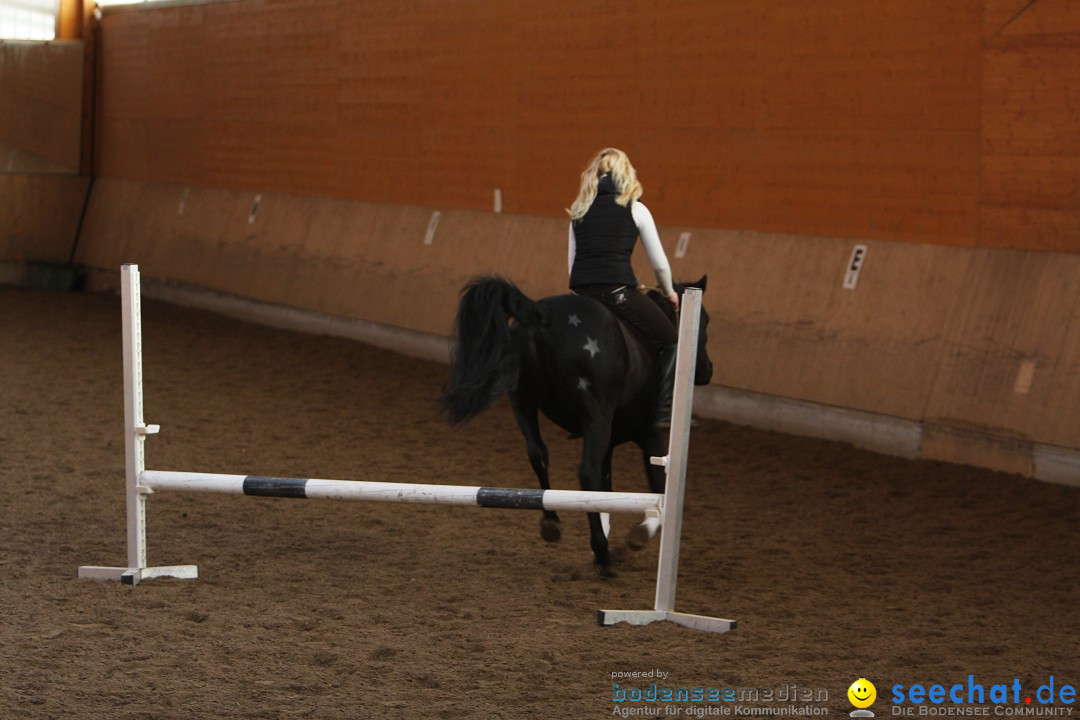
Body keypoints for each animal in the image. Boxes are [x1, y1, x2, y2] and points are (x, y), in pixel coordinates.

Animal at [442, 274, 712, 574]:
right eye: (705, 320)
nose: (706, 371)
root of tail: (542, 314)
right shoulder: (648, 434)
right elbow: (653, 483)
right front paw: (642, 531)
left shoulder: (609, 442)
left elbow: (606, 492)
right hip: (595, 416)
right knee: (587, 474)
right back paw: (603, 554)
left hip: (523, 403)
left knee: (538, 454)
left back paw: (553, 523)